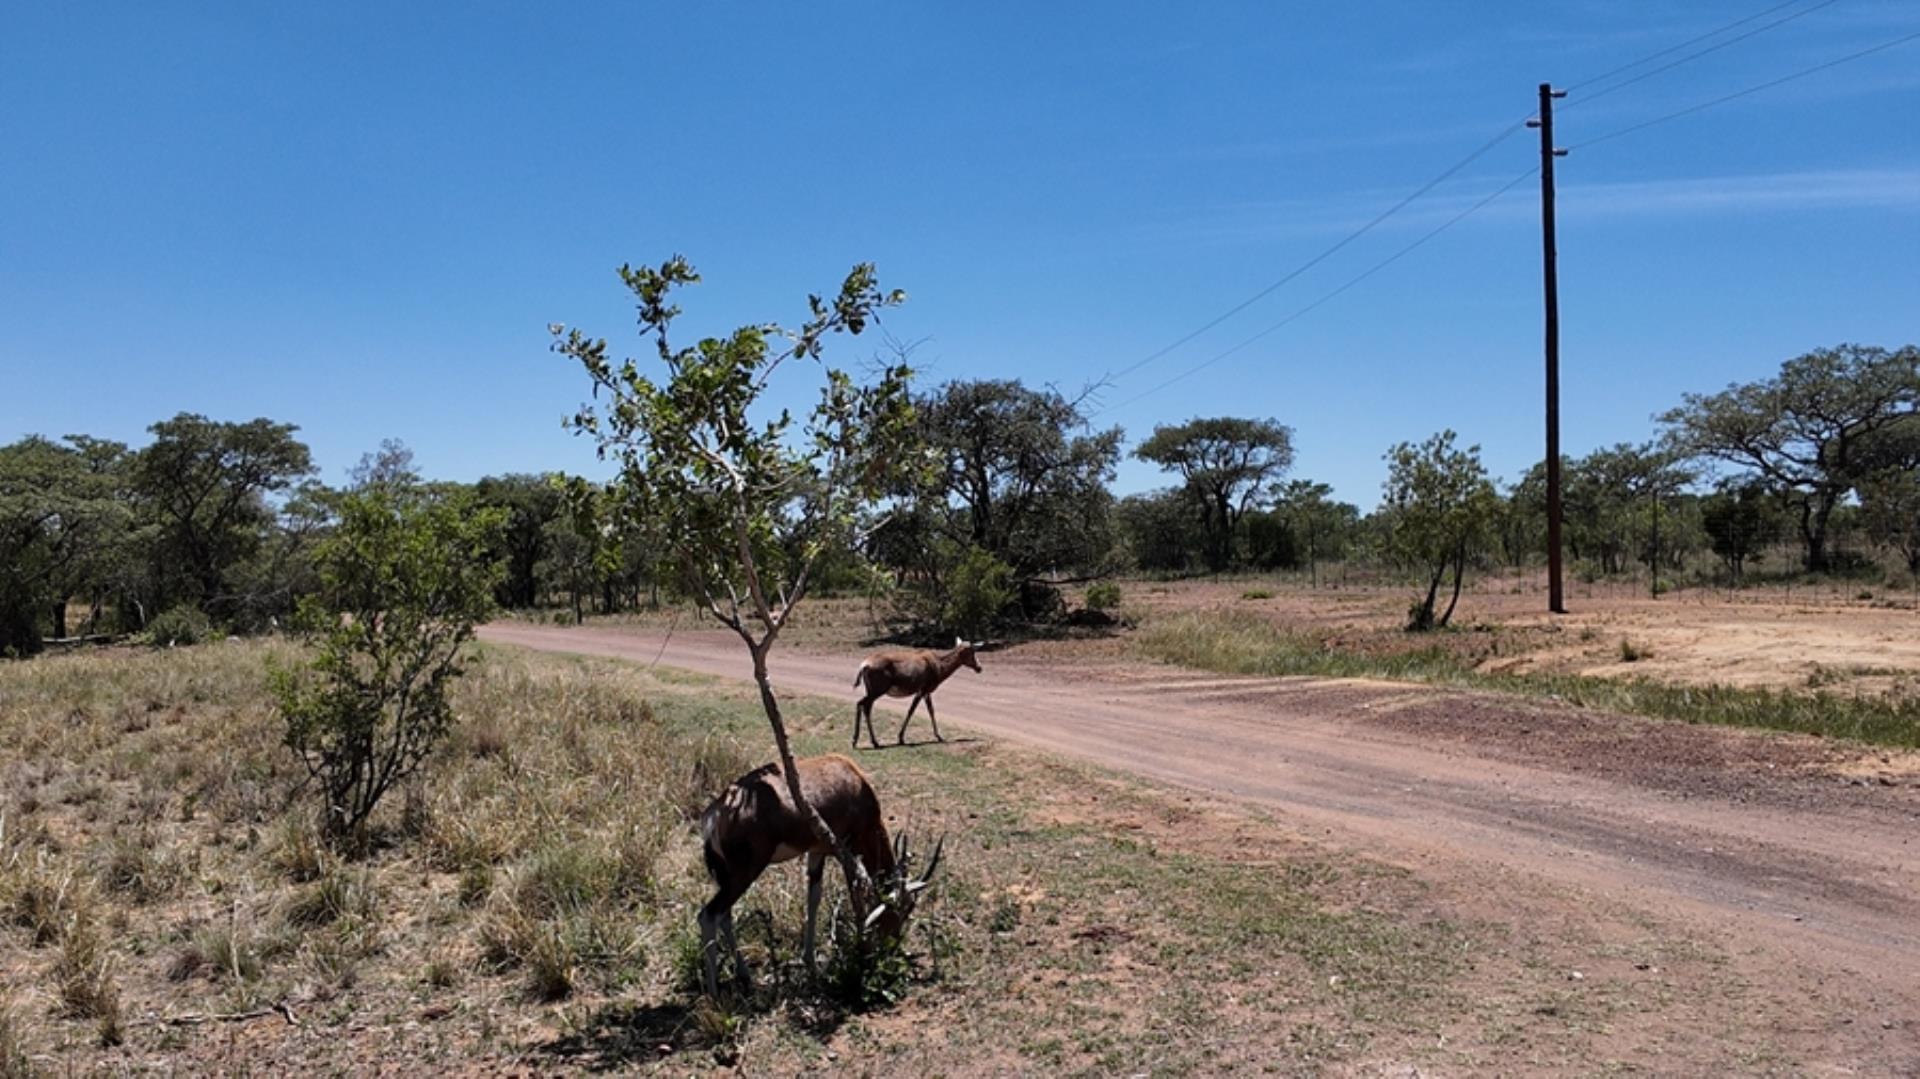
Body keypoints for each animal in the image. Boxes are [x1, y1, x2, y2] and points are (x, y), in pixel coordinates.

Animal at [702, 748, 948, 990]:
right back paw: (713, 993)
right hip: (747, 871)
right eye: (900, 909)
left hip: (729, 875)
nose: (892, 947)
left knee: (724, 915)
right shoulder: (847, 853)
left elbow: (813, 899)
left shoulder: (817, 852)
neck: (853, 780)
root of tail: (718, 811)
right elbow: (856, 900)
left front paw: (810, 962)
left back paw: (745, 976)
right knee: (709, 914)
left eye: (909, 909)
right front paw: (860, 955)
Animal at [852, 633, 983, 744]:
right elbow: (912, 710)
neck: (938, 666)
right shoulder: (922, 691)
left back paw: (856, 740)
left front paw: (939, 736)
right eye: (972, 652)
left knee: (861, 705)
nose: (979, 668)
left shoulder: (926, 693)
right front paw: (901, 738)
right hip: (877, 691)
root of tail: (865, 665)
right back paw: (873, 742)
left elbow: (931, 710)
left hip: (871, 691)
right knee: (864, 706)